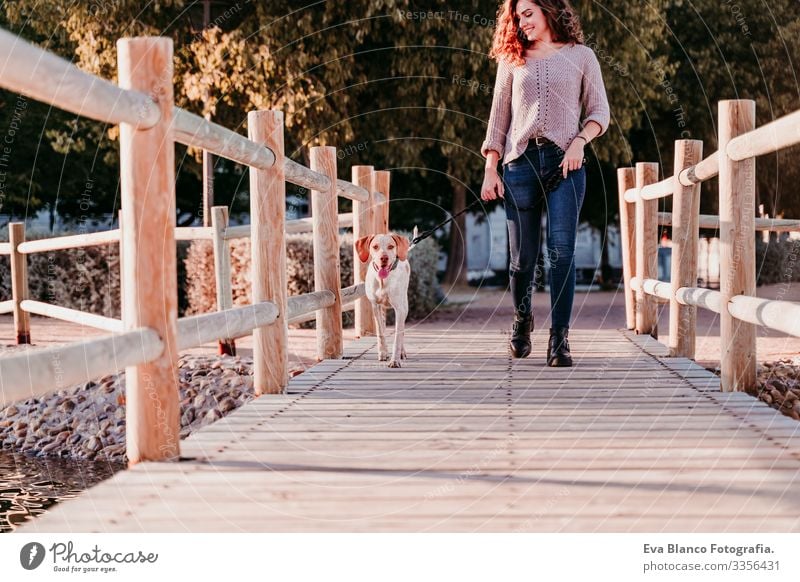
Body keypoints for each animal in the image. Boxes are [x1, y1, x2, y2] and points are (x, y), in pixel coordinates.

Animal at [358, 234, 412, 368]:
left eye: (391, 246)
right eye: (375, 246)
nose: (384, 258)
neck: (383, 281)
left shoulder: (399, 310)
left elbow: (398, 336)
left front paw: (395, 360)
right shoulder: (375, 306)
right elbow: (380, 332)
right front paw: (383, 353)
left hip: (405, 305)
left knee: (402, 331)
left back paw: (402, 352)